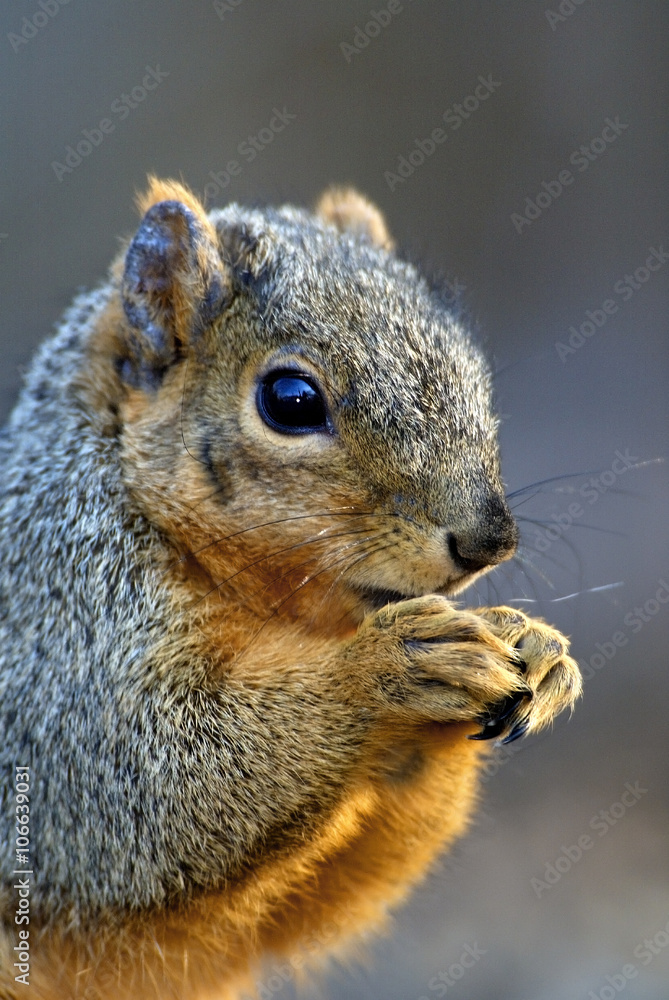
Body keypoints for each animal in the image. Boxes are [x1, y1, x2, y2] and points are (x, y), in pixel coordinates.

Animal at [0, 178, 581, 1000]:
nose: (488, 540)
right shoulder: (55, 637)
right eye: (291, 400)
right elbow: (139, 788)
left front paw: (535, 647)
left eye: (470, 364)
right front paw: (389, 669)